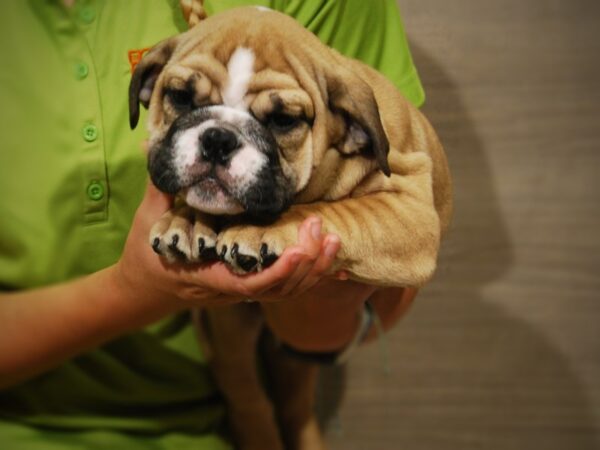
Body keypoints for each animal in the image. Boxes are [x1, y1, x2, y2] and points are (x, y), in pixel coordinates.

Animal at [129, 6, 452, 450]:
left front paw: (259, 230)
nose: (218, 138)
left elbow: (335, 211)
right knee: (247, 393)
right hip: (228, 331)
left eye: (283, 120)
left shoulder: (409, 207)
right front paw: (188, 219)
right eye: (180, 97)